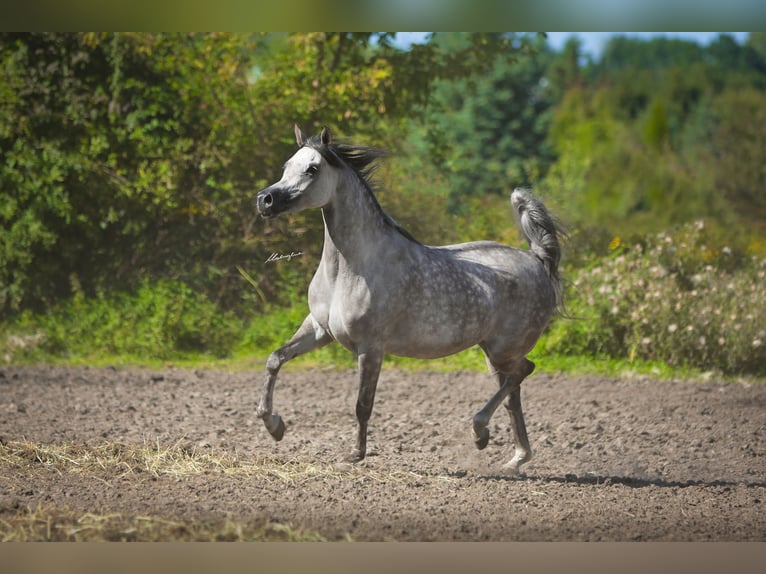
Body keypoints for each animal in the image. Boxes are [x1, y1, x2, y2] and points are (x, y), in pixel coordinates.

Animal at [254, 125, 564, 475]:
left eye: (312, 169)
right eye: (286, 166)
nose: (265, 200)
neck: (350, 268)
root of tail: (537, 260)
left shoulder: (371, 347)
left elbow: (362, 404)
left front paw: (355, 455)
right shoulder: (320, 331)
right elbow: (275, 359)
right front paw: (275, 426)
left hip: (504, 350)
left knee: (524, 372)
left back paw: (480, 431)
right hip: (493, 352)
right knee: (513, 391)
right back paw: (512, 458)